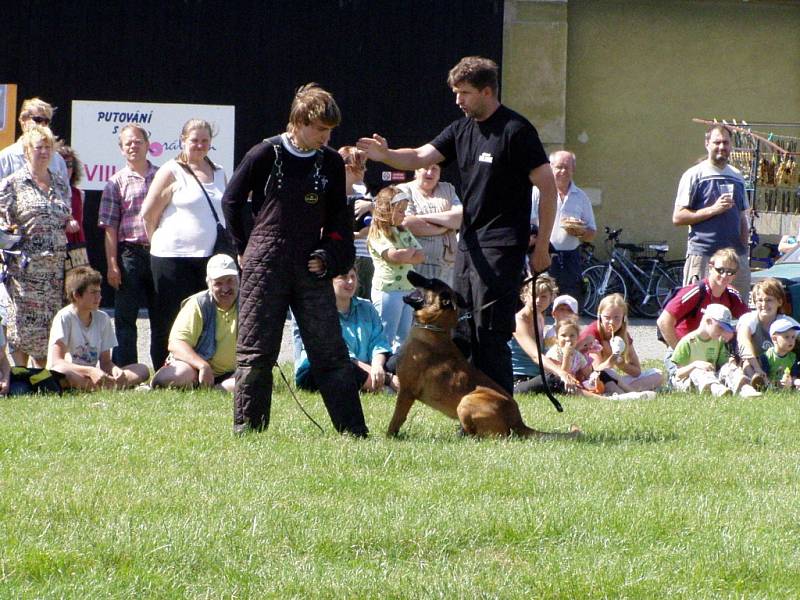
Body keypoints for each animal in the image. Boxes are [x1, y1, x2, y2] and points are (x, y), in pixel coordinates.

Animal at [390, 274, 580, 438]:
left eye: (430, 282)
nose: (410, 272)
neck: (433, 329)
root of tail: (517, 420)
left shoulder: (406, 391)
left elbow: (396, 418)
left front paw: (389, 437)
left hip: (466, 401)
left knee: (480, 435)